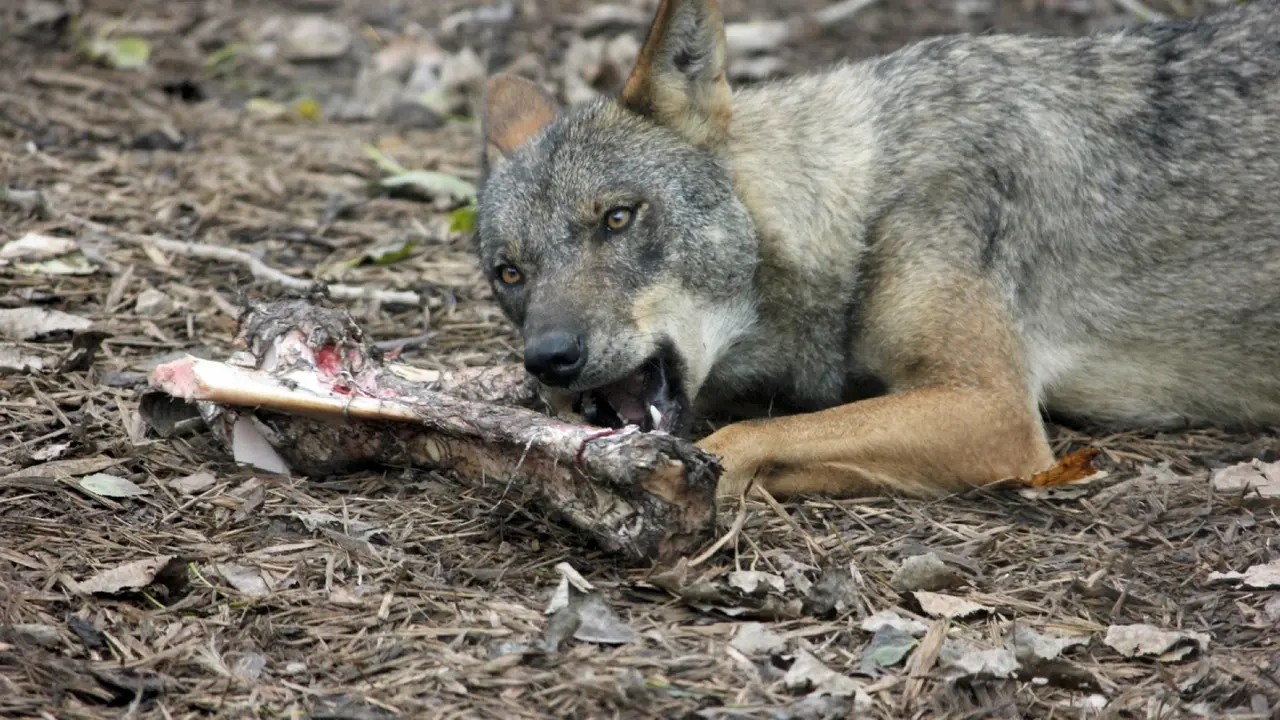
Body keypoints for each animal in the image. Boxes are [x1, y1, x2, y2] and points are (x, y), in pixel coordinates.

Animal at [471, 0, 1280, 500]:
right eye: (509, 273)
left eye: (616, 218)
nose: (548, 358)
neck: (863, 202)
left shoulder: (992, 409)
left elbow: (749, 436)